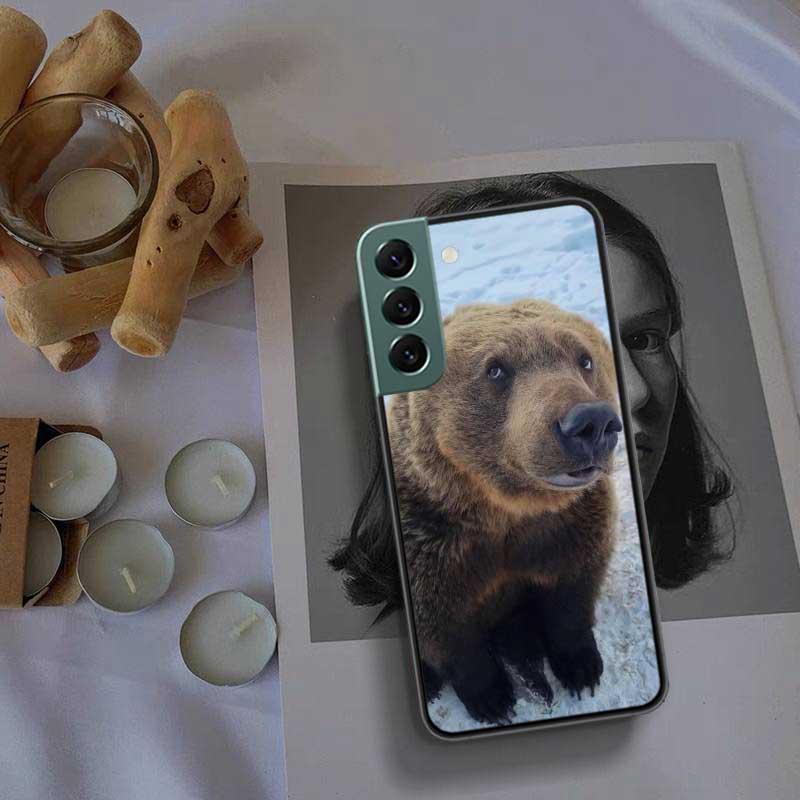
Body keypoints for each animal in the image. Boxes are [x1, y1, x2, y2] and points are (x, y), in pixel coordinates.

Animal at [332, 298, 622, 725]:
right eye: (496, 368)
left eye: (584, 359)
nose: (591, 422)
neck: (503, 511)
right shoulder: (435, 543)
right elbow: (447, 628)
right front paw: (492, 698)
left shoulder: (566, 525)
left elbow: (572, 588)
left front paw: (581, 668)